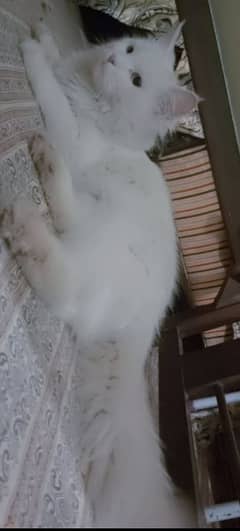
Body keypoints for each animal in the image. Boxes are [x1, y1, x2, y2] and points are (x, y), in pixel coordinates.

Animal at [0, 22, 198, 524]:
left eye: (136, 82)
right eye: (126, 49)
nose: (112, 62)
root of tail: (142, 335)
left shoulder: (74, 133)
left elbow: (49, 91)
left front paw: (31, 50)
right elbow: (57, 61)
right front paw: (46, 38)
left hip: (95, 240)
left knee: (64, 280)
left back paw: (27, 203)